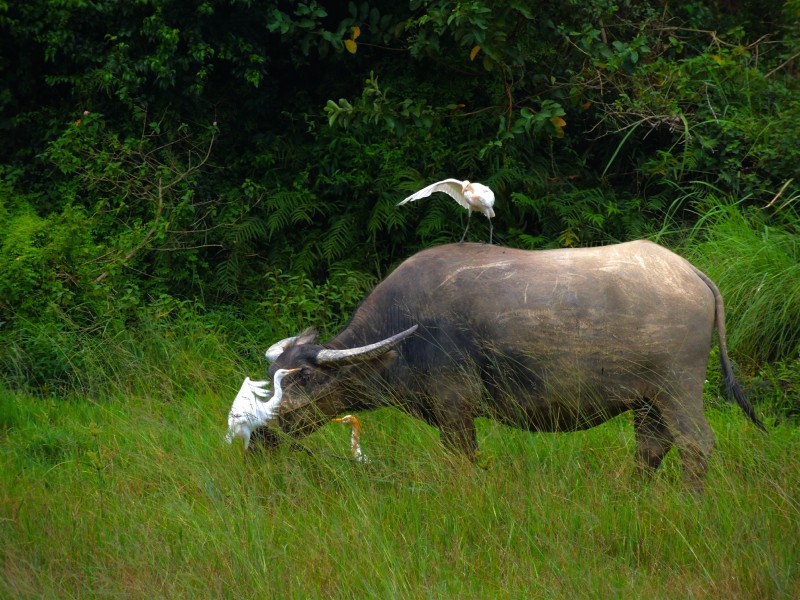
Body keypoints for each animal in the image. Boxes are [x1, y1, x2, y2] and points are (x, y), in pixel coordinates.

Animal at [266, 241, 764, 490]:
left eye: (304, 376)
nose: (262, 431)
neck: (402, 331)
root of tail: (693, 275)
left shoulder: (455, 407)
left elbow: (462, 458)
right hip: (647, 401)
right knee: (651, 448)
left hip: (678, 387)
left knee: (696, 445)